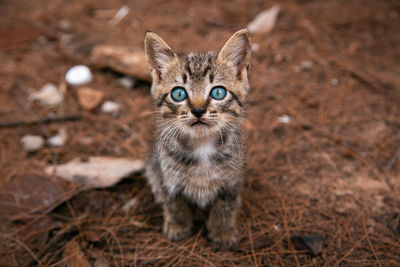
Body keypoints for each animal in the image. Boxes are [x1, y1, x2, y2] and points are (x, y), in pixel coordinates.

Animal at [143, 29, 250, 249]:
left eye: (218, 92)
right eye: (178, 93)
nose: (199, 110)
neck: (202, 145)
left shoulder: (233, 179)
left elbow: (226, 204)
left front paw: (222, 229)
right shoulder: (167, 175)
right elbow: (173, 200)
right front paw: (178, 224)